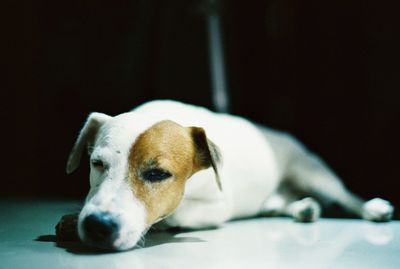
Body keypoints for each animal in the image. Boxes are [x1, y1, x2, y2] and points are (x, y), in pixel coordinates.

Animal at [65, 99, 394, 250]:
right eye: (97, 163)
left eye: (158, 174)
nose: (97, 226)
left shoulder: (218, 206)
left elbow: (176, 213)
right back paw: (303, 208)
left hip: (312, 174)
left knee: (347, 196)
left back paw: (373, 208)